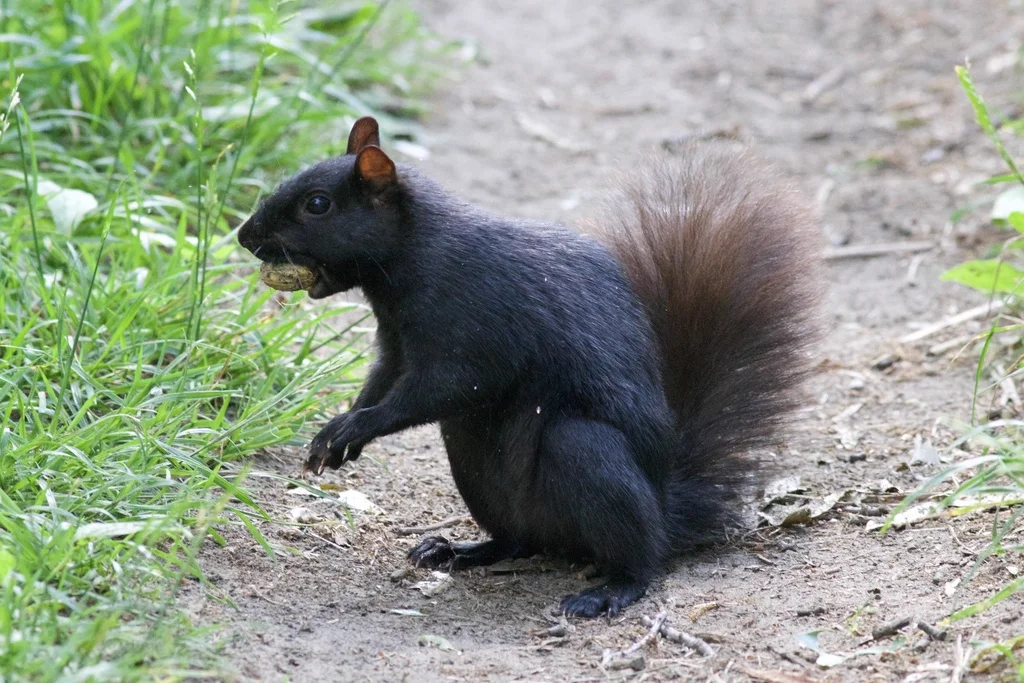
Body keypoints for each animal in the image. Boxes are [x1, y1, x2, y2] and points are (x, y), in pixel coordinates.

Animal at [238, 116, 821, 618]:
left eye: (317, 205)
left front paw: (352, 429)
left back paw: (609, 590)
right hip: (473, 462)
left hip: (587, 453)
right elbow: (381, 381)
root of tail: (666, 507)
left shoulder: (476, 330)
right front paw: (336, 435)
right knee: (519, 540)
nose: (246, 236)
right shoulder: (395, 345)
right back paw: (460, 551)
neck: (417, 254)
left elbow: (444, 387)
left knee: (640, 555)